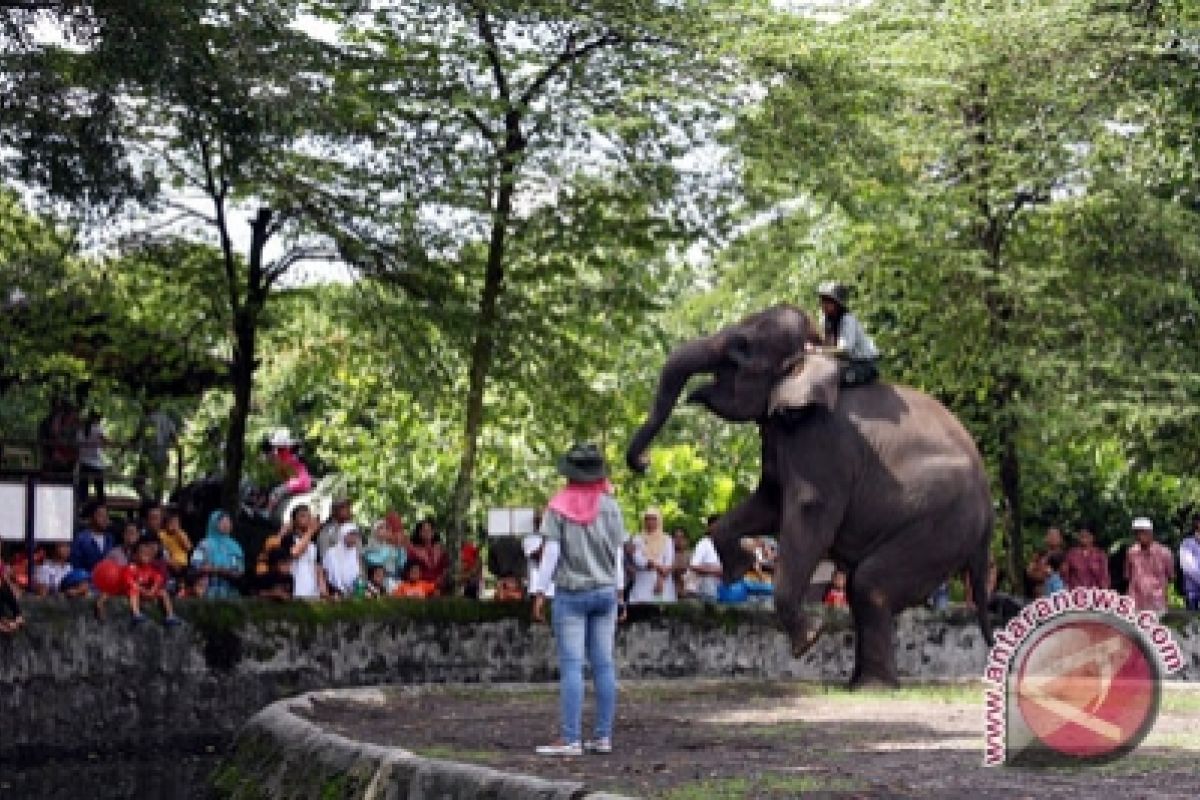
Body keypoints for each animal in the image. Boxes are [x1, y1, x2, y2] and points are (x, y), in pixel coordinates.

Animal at [628, 303, 993, 686]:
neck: (814, 352)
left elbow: (807, 510)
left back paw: (872, 686)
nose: (644, 462)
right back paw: (857, 685)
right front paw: (739, 568)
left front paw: (808, 640)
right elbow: (769, 502)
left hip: (942, 522)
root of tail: (989, 513)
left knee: (869, 585)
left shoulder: (821, 440)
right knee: (862, 588)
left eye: (740, 348)